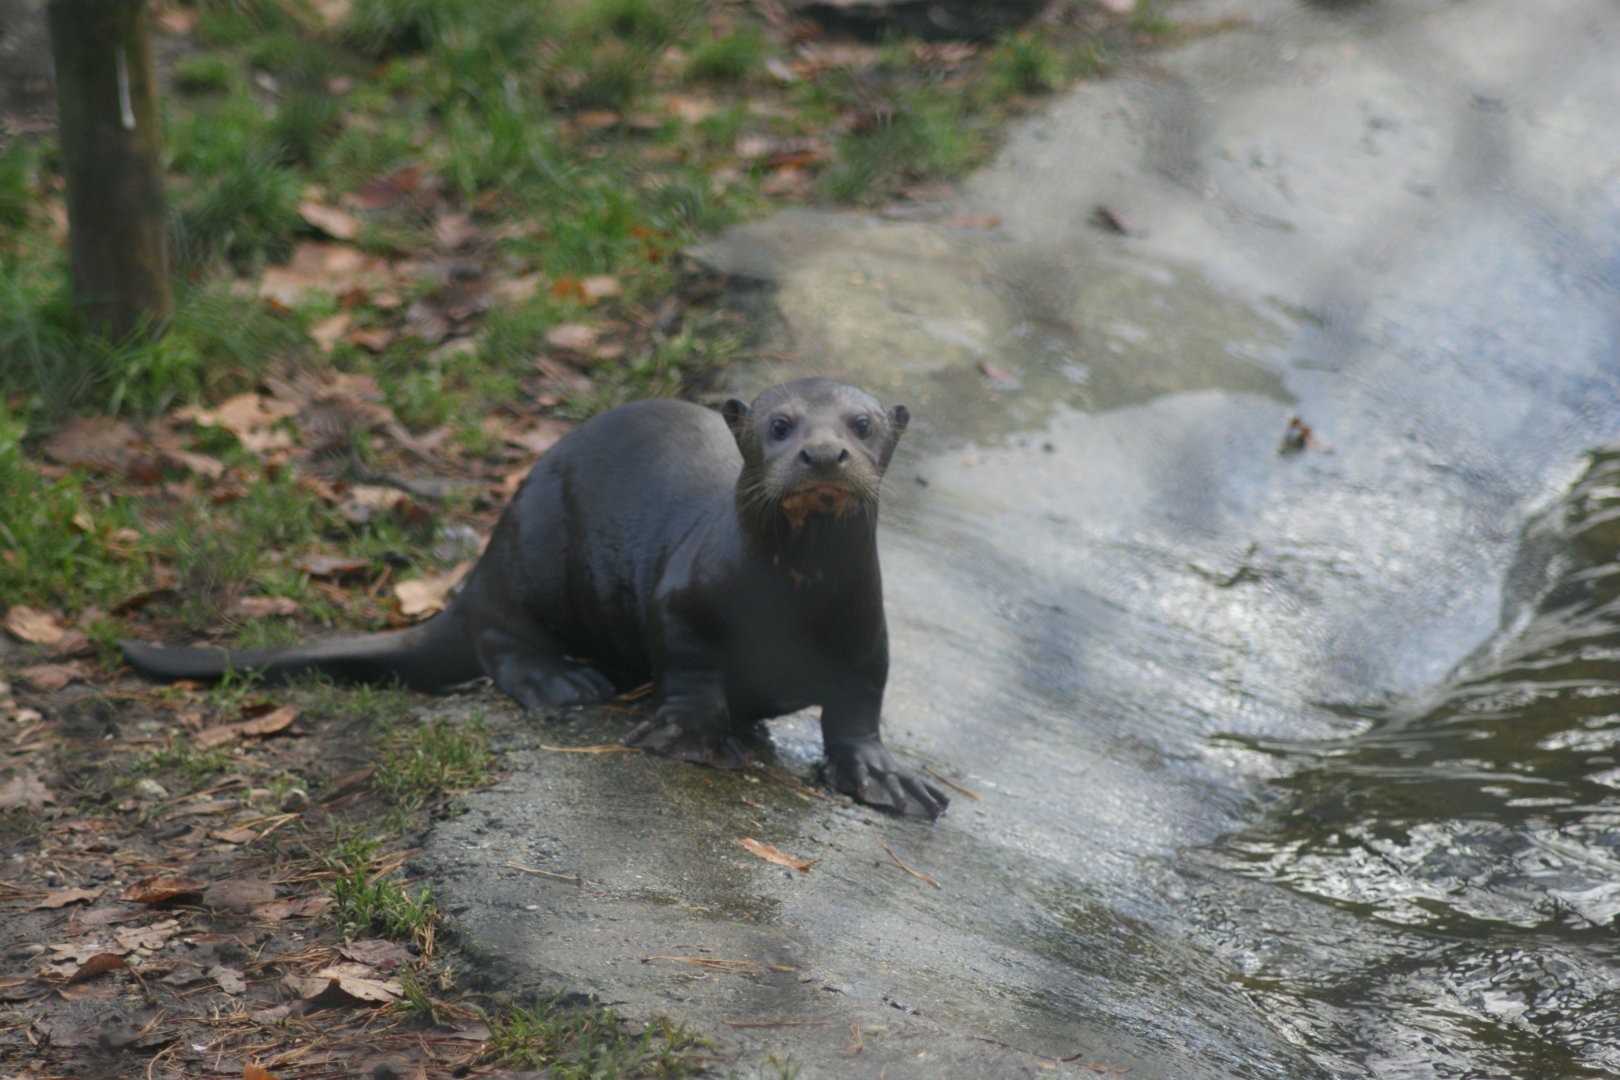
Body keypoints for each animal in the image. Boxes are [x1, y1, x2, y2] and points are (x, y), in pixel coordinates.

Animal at [122, 379, 947, 819]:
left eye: (862, 425)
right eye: (779, 424)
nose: (823, 453)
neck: (789, 605)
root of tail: (483, 561)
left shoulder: (866, 638)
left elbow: (859, 705)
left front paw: (885, 776)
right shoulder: (682, 604)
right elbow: (690, 671)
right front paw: (690, 736)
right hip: (529, 565)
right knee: (495, 638)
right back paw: (564, 681)